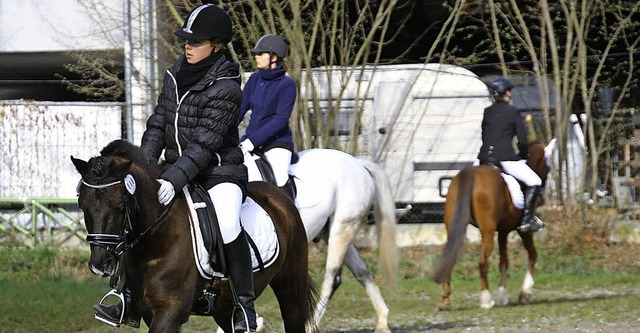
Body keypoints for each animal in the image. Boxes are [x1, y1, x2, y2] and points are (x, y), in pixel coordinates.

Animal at [71, 139, 316, 330]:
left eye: (120, 206)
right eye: (82, 205)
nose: (99, 265)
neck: (157, 238)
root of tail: (280, 197)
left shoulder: (171, 311)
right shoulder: (151, 311)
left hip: (291, 292)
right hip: (224, 307)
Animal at [244, 148, 396, 332]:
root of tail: (359, 163)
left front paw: (258, 323)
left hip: (343, 226)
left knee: (333, 276)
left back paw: (310, 325)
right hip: (332, 230)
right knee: (360, 269)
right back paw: (382, 320)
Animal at [436, 139, 556, 308]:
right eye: (548, 166)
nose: (542, 193)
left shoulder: (503, 231)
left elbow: (504, 262)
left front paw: (502, 295)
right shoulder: (523, 231)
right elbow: (532, 255)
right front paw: (524, 293)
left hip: (453, 227)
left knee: (450, 258)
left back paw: (445, 301)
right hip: (487, 231)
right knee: (482, 262)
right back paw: (486, 300)